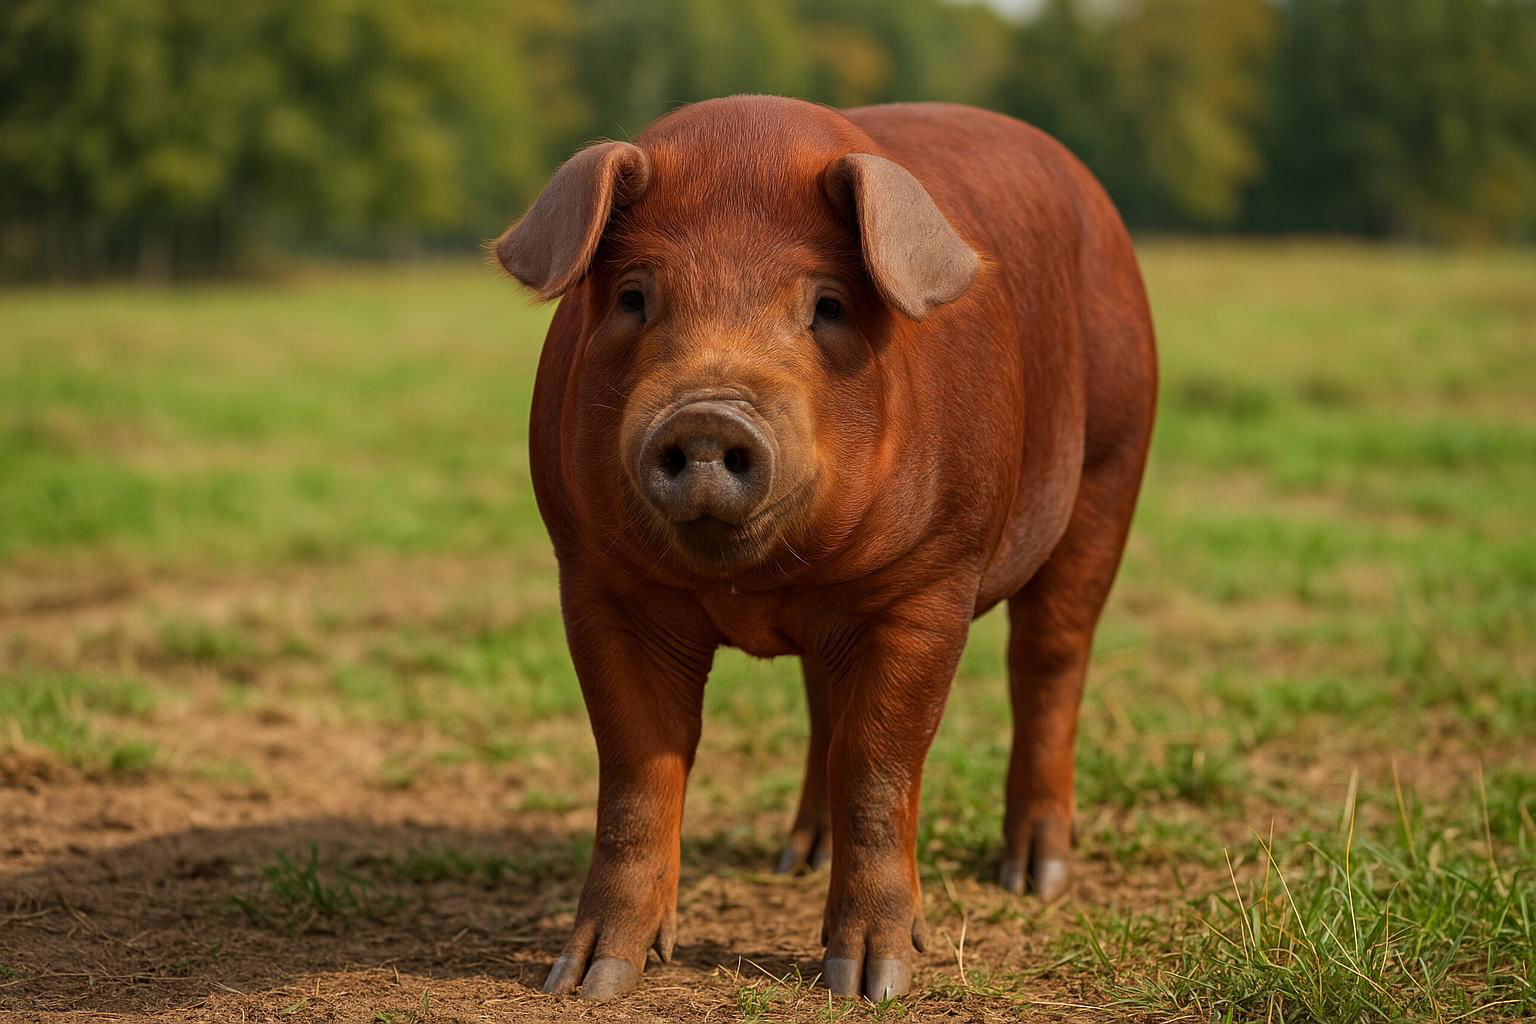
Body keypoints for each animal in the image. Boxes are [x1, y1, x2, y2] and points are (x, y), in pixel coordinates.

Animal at [493, 95, 1156, 1002]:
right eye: (633, 296)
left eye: (828, 306)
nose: (709, 417)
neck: (756, 583)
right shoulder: (596, 580)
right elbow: (636, 773)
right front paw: (589, 981)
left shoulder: (930, 582)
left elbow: (879, 764)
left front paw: (868, 982)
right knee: (824, 705)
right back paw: (795, 859)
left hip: (1111, 465)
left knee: (1050, 663)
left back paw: (1036, 877)